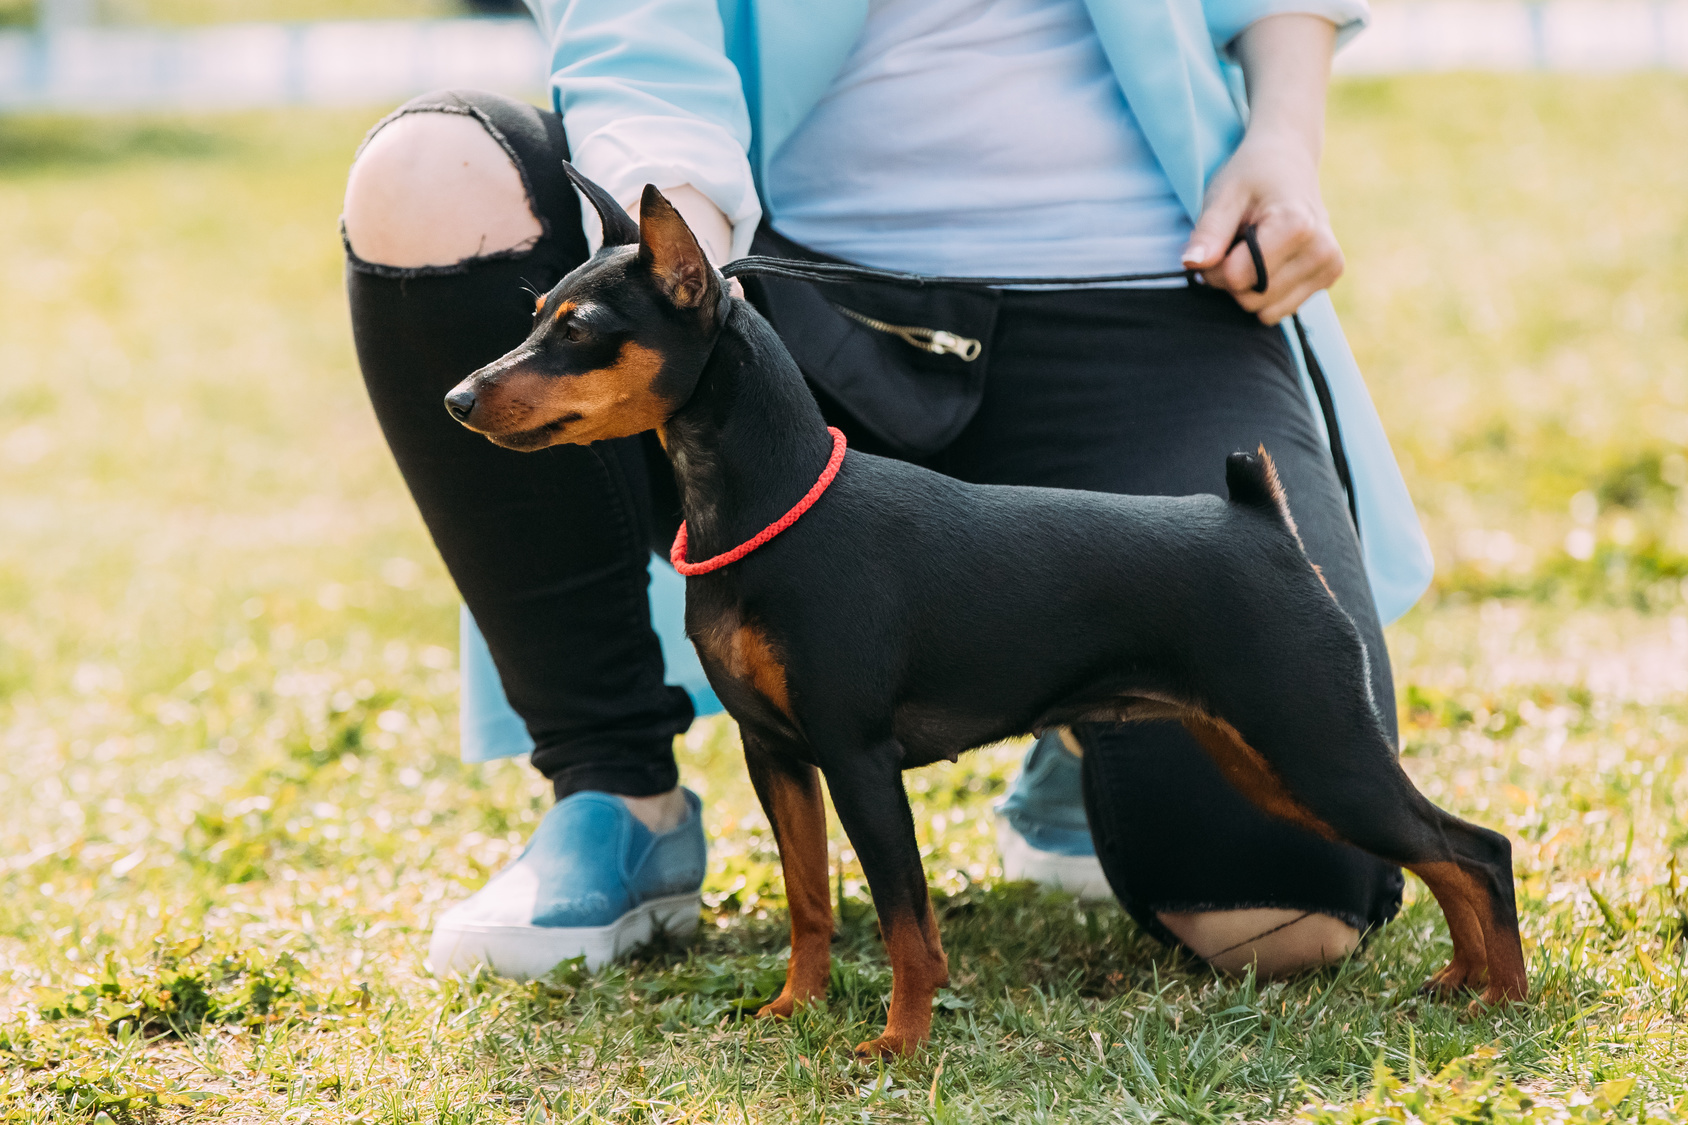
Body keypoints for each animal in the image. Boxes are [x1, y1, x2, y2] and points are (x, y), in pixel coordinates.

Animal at [445, 164, 1532, 1054]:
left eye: (579, 333)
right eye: (536, 312)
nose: (458, 398)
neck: (764, 507)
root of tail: (1258, 518)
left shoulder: (858, 758)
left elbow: (903, 920)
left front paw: (898, 1043)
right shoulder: (777, 756)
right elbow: (809, 899)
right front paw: (794, 1008)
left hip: (1313, 747)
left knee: (1474, 848)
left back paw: (1505, 999)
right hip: (1267, 759)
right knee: (1442, 855)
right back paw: (1459, 981)